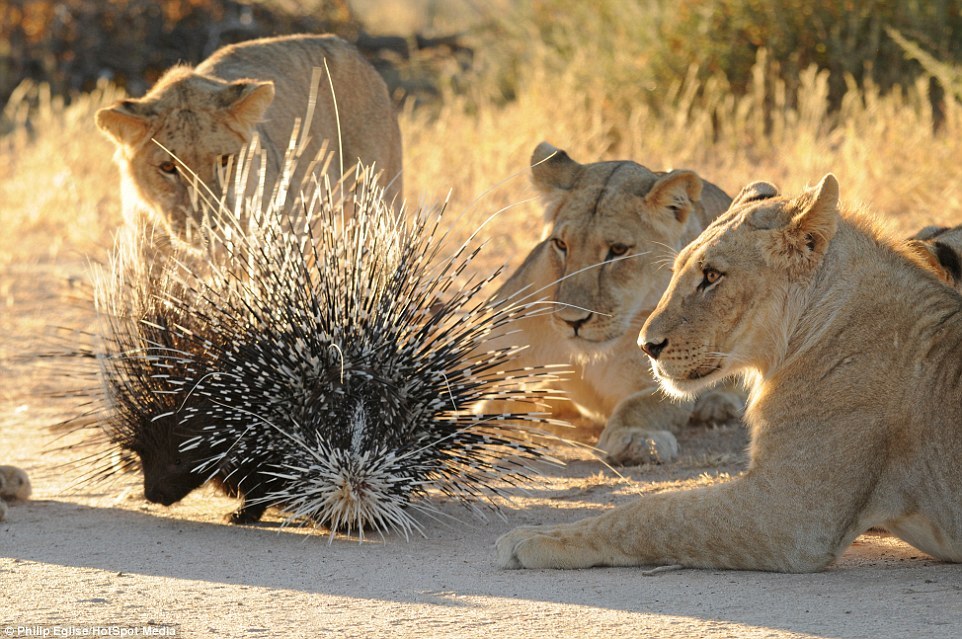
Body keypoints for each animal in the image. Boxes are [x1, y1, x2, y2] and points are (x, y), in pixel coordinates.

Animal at [488, 144, 744, 464]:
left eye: (618, 250)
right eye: (561, 244)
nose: (572, 321)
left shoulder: (667, 372)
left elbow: (642, 405)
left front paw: (636, 439)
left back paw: (718, 403)